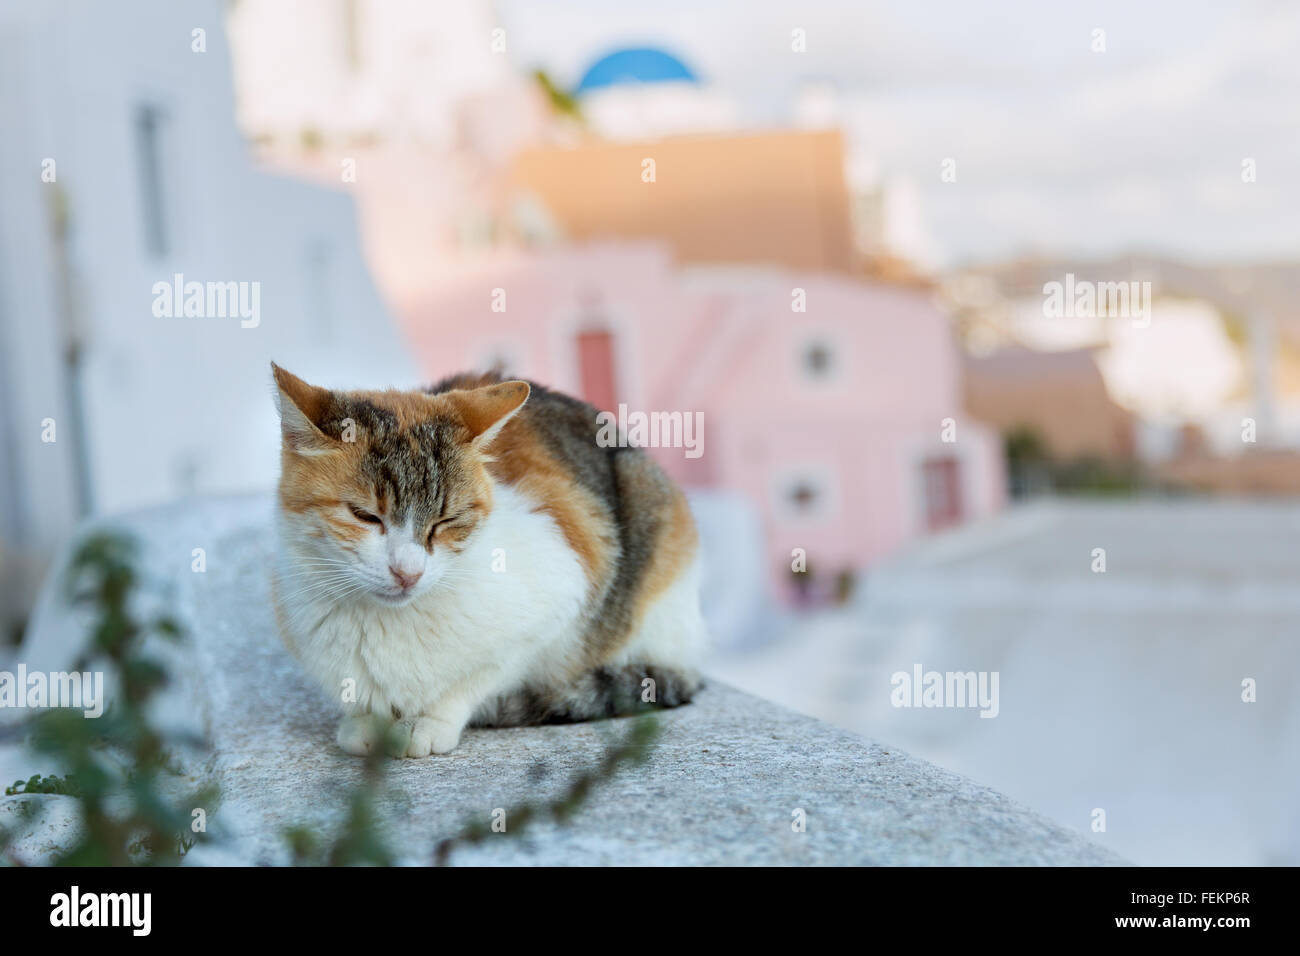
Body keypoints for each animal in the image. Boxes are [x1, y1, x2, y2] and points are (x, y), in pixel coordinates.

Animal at [267, 361, 707, 759]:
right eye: (365, 516)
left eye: (446, 520)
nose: (408, 572)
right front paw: (365, 723)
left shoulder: (562, 594)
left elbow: (478, 676)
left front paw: (431, 721)